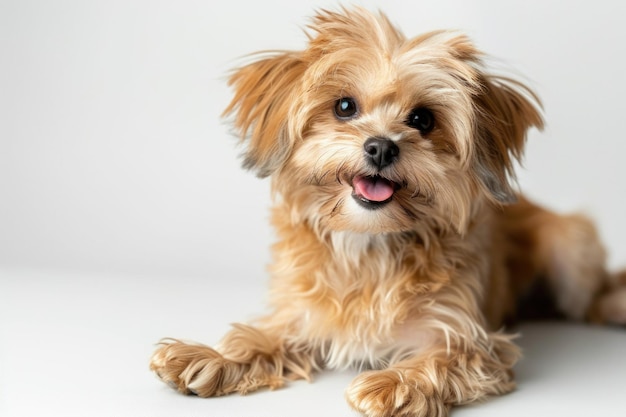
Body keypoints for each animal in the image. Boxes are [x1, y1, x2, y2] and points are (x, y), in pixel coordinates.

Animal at [147, 7, 624, 416]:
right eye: (344, 106)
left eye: (423, 119)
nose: (380, 146)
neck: (368, 244)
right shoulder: (298, 315)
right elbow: (257, 338)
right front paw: (209, 357)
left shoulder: (469, 338)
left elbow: (440, 359)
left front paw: (395, 382)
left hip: (572, 244)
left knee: (590, 299)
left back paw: (612, 305)